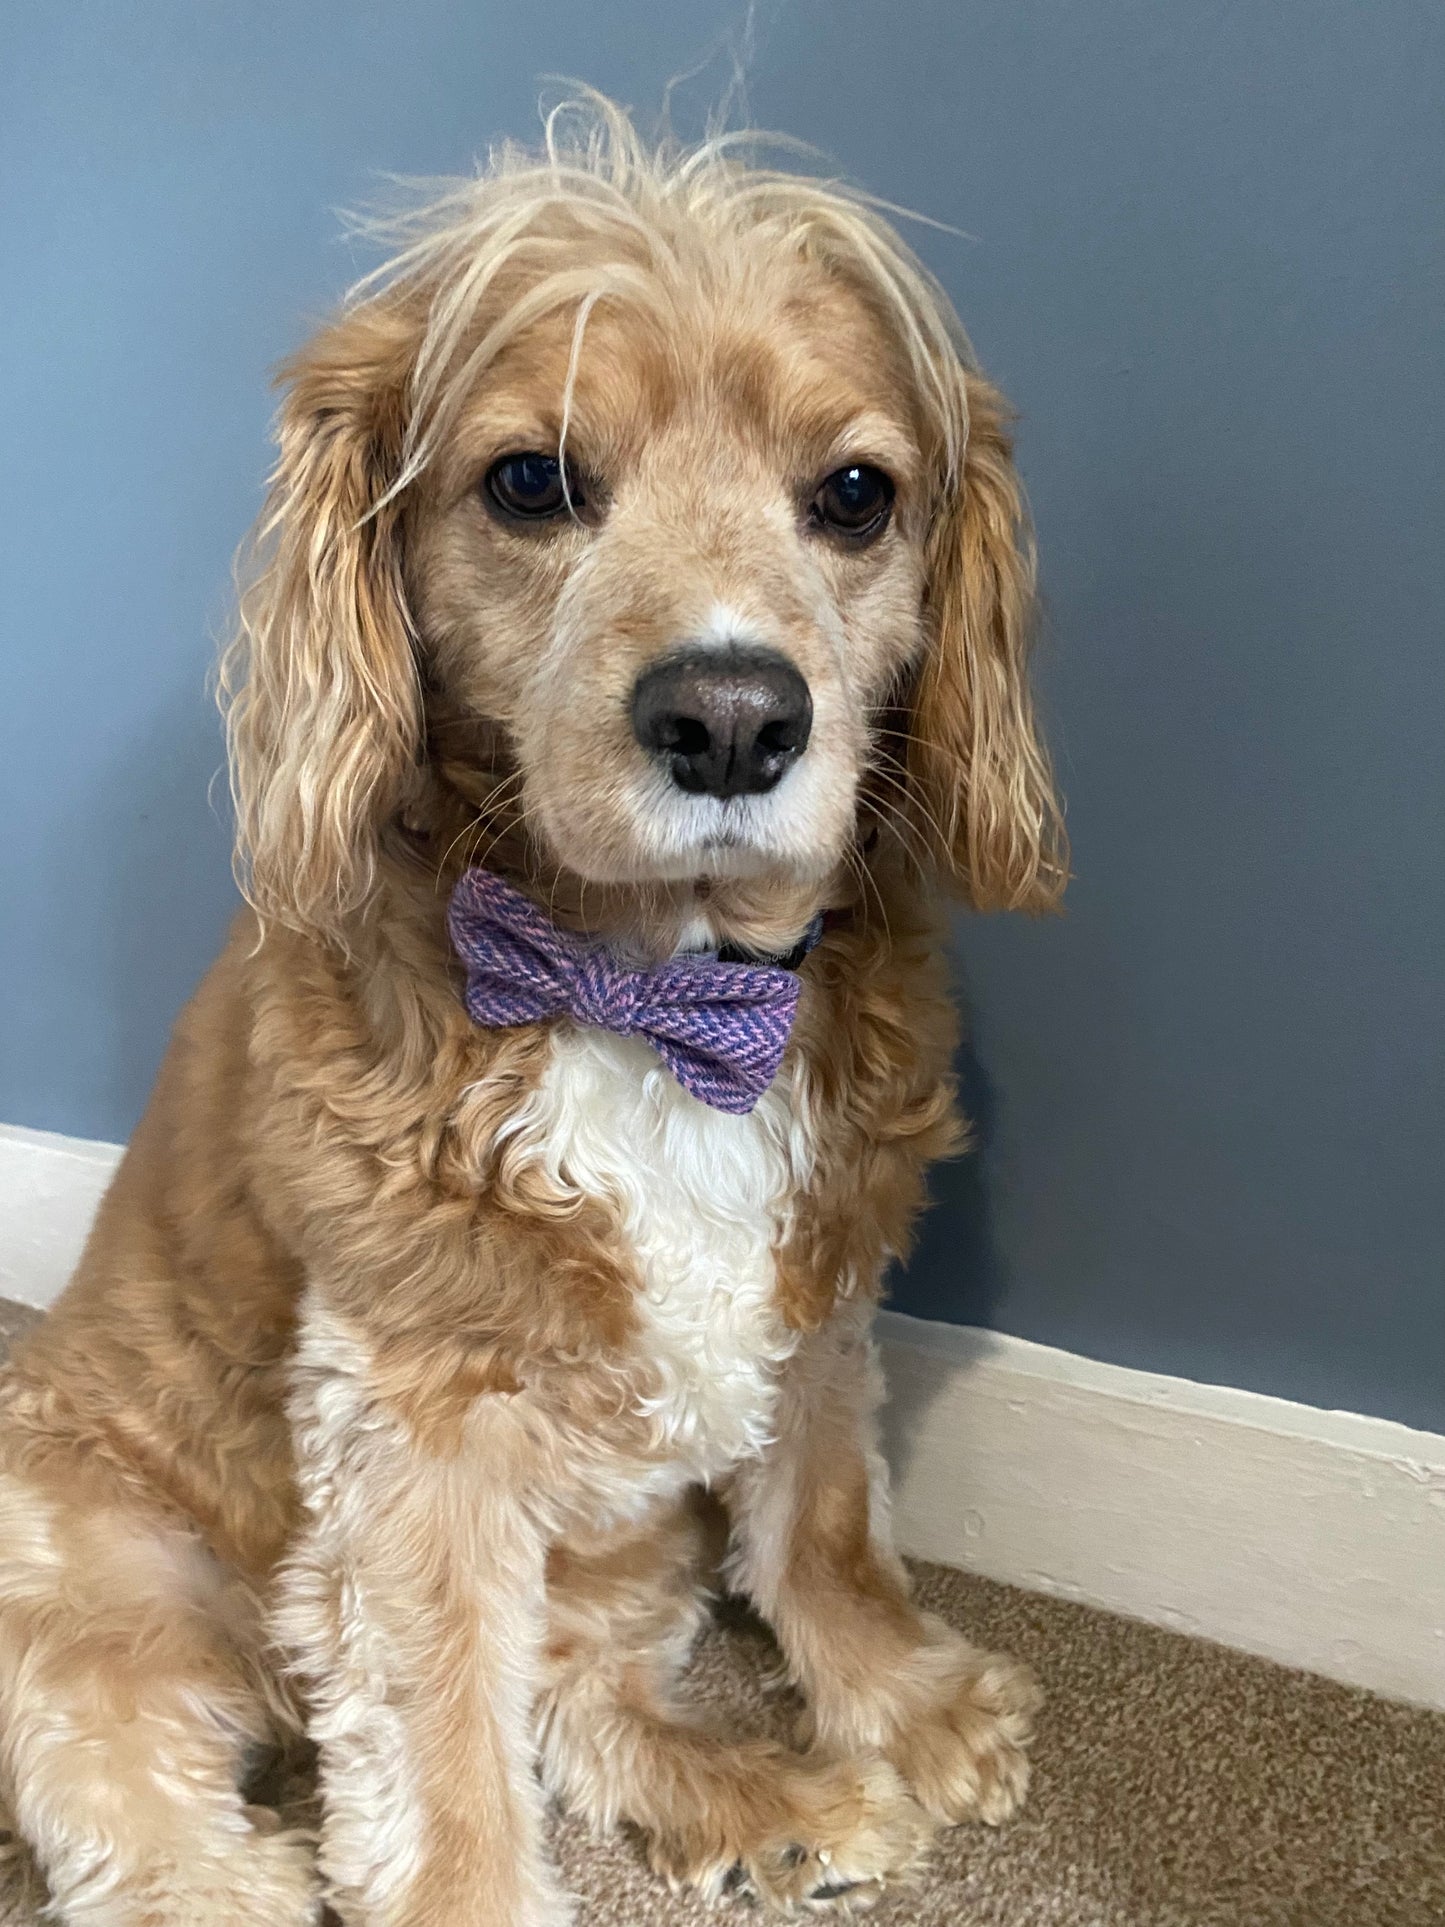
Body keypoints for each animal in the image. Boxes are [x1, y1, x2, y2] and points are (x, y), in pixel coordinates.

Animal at [0, 93, 1063, 1927]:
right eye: (531, 482)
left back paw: (771, 1798)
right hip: (90, 1565)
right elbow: (442, 1757)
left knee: (578, 1693)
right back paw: (236, 1877)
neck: (647, 989)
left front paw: (905, 1700)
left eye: (857, 496)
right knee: (129, 1787)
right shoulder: (411, 1426)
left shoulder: (817, 1290)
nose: (731, 718)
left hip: (624, 1540)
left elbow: (822, 1516)